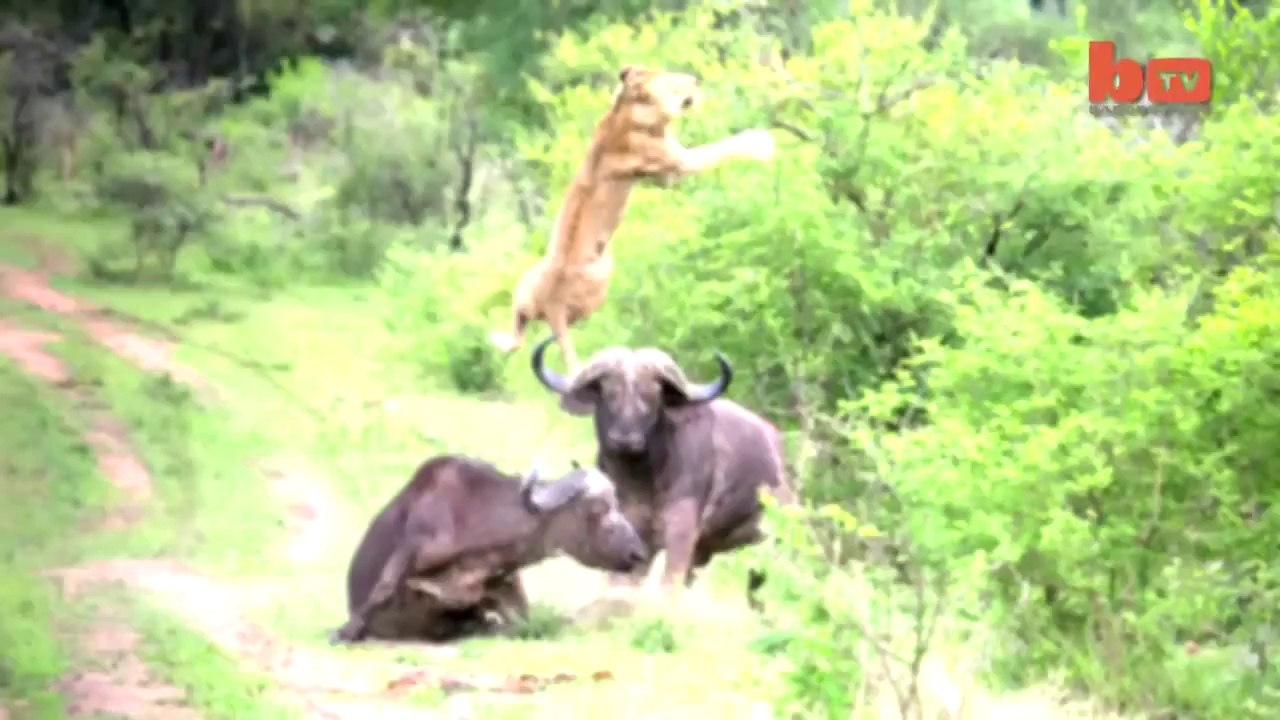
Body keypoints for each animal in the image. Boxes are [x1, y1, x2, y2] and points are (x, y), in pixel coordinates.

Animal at [488, 65, 777, 372]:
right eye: (673, 81)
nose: (695, 80)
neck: (628, 109)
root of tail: (552, 306)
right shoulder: (677, 164)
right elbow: (723, 146)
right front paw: (763, 142)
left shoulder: (668, 171)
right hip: (600, 281)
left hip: (524, 287)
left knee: (518, 333)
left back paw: (496, 338)